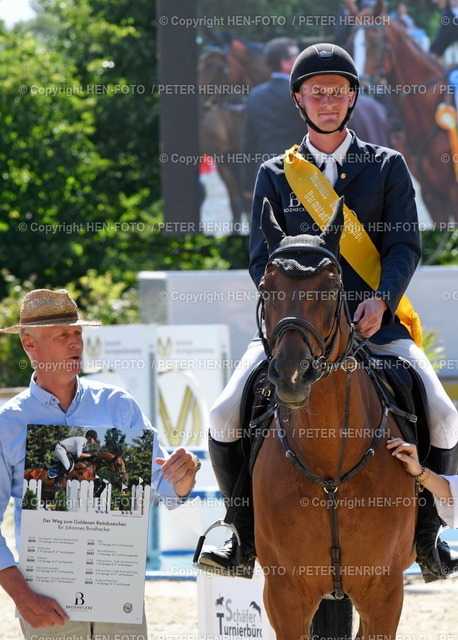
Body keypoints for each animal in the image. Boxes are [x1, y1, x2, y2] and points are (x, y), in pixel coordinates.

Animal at [254, 198, 418, 636]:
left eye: (329, 287)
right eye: (266, 287)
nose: (291, 375)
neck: (330, 461)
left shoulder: (384, 593)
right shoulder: (284, 595)